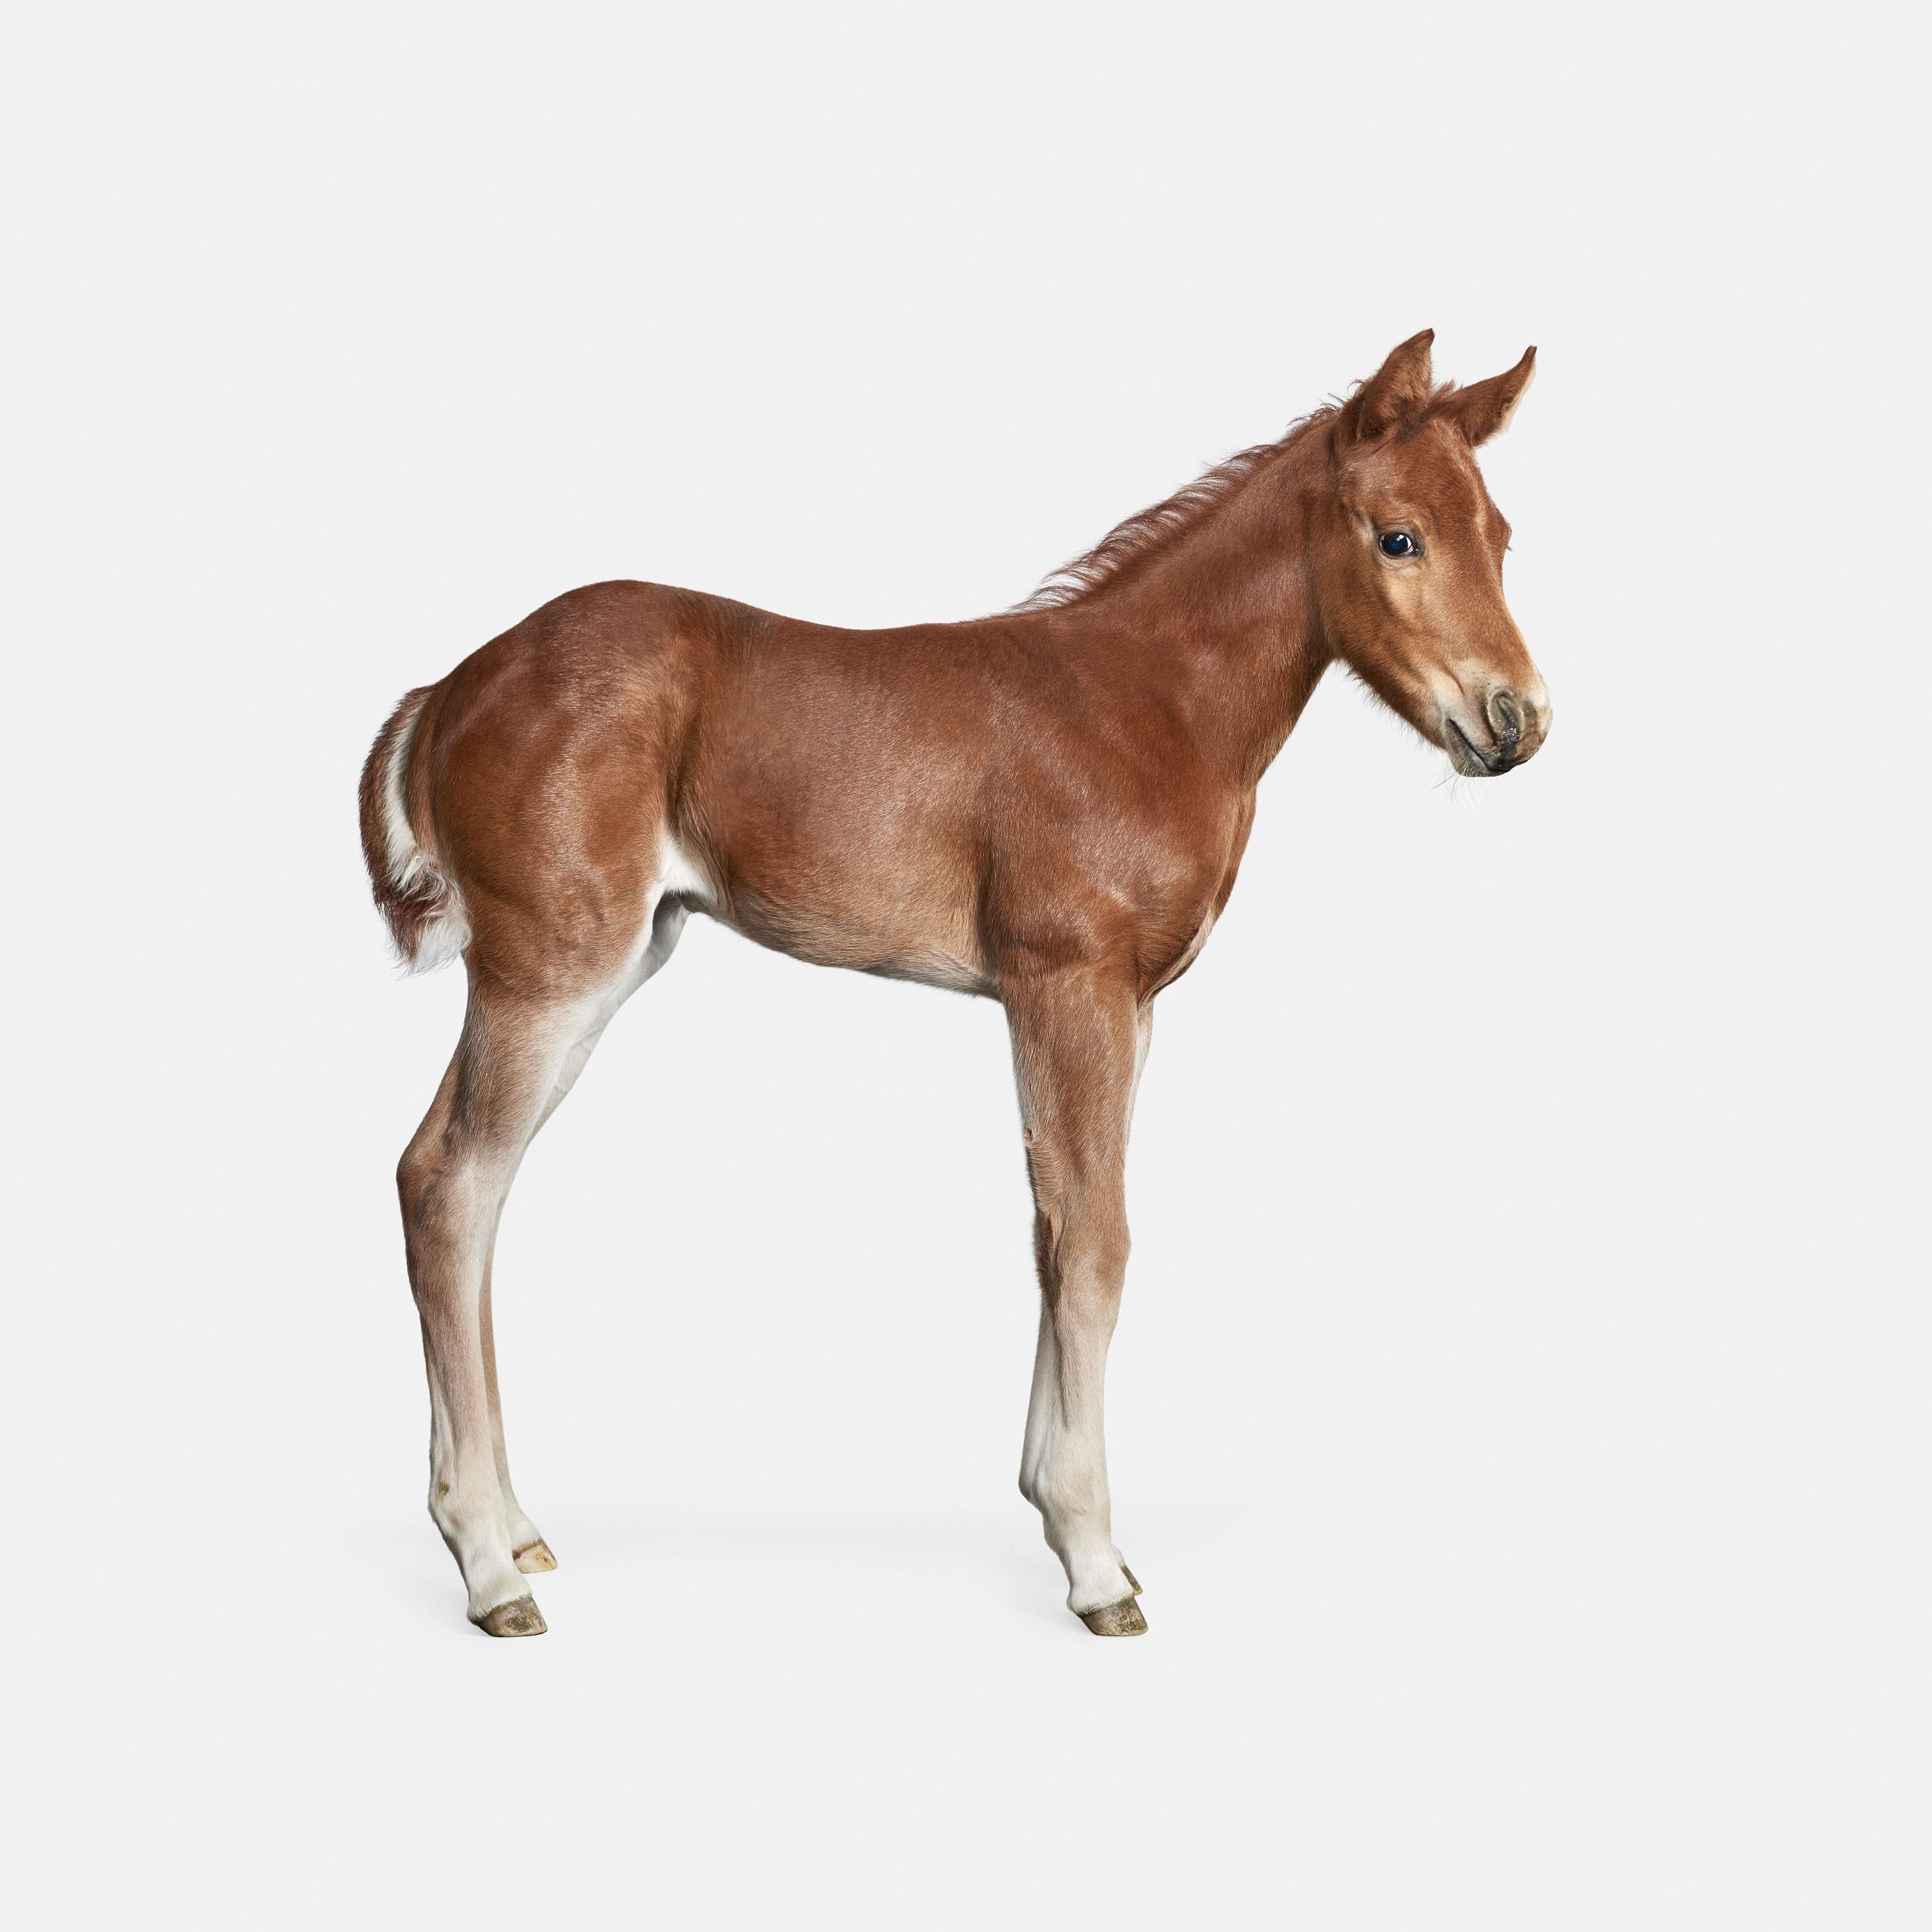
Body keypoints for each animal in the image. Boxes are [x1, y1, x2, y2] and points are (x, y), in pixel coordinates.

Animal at [359, 329, 1550, 1637]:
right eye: (1398, 537)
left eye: (1500, 534)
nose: (1517, 718)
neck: (1146, 704)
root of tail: (453, 689)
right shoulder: (1067, 990)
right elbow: (1095, 1240)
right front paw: (1094, 1561)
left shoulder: (1127, 1008)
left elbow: (1055, 1228)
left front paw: (1053, 1509)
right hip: (551, 972)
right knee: (451, 1187)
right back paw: (485, 1566)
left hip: (599, 972)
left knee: (457, 1186)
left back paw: (508, 1528)